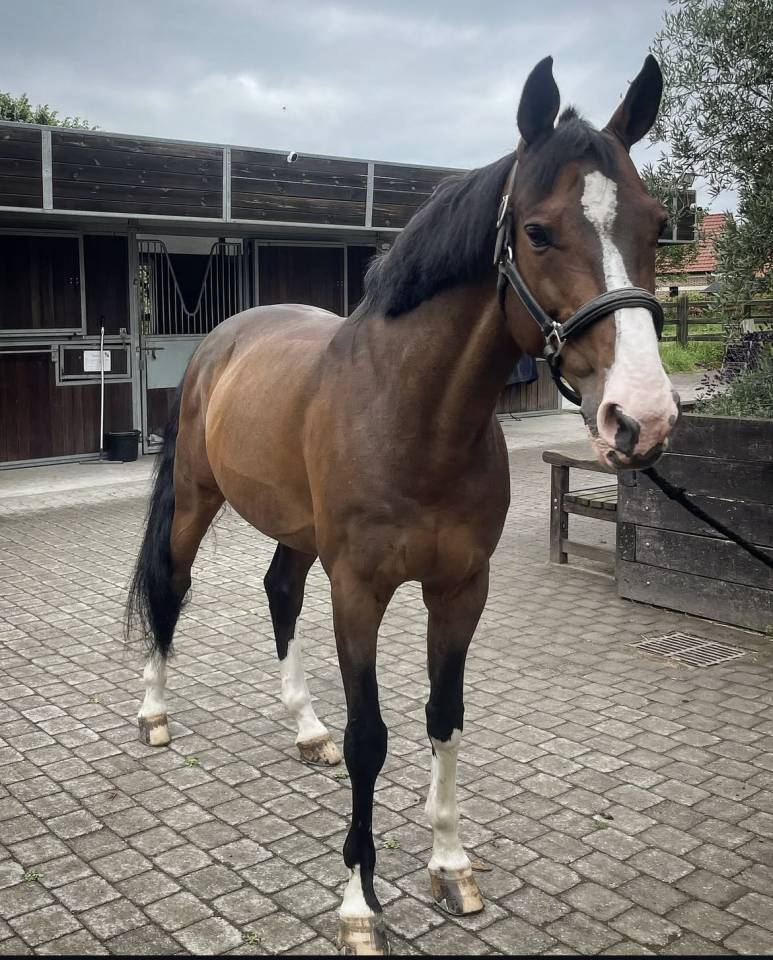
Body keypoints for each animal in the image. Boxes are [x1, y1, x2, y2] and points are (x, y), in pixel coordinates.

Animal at [127, 54, 678, 955]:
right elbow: (371, 737)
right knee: (171, 588)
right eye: (536, 231)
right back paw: (154, 712)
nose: (641, 418)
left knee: (279, 591)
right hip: (198, 505)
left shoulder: (460, 589)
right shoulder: (359, 590)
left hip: (297, 531)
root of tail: (224, 337)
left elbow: (442, 716)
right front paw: (359, 900)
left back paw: (303, 727)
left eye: (656, 222)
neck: (413, 416)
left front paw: (450, 865)